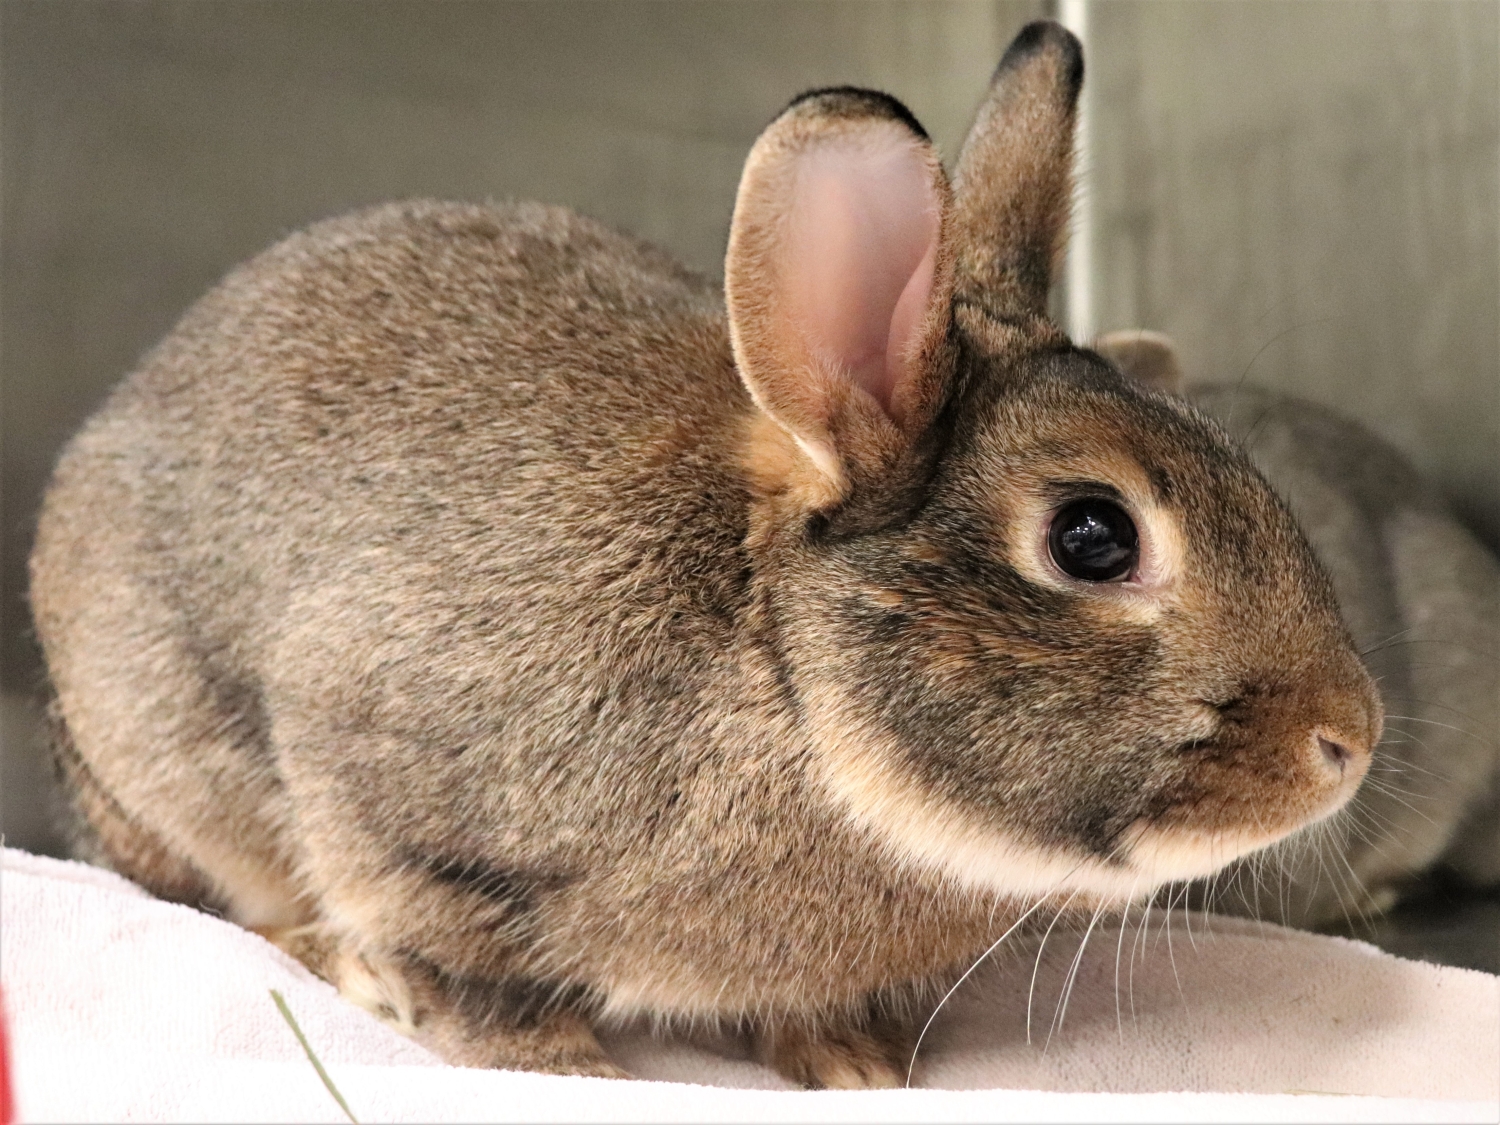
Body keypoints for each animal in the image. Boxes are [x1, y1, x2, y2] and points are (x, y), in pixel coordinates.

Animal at [30, 22, 1383, 1089]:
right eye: (1091, 537)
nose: (1349, 742)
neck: (784, 682)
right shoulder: (387, 790)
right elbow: (457, 960)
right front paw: (557, 1067)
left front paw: (851, 1065)